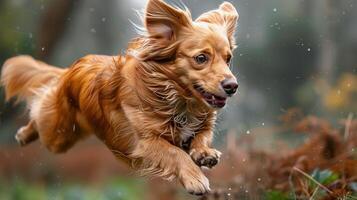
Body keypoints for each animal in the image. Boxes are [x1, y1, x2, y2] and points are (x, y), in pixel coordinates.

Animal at [2, 0, 239, 194]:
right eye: (201, 58)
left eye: (228, 59)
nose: (232, 86)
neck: (177, 99)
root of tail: (68, 72)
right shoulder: (145, 142)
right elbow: (175, 153)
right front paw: (195, 178)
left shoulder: (200, 125)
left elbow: (202, 135)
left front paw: (204, 153)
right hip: (58, 134)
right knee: (40, 111)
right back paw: (24, 134)